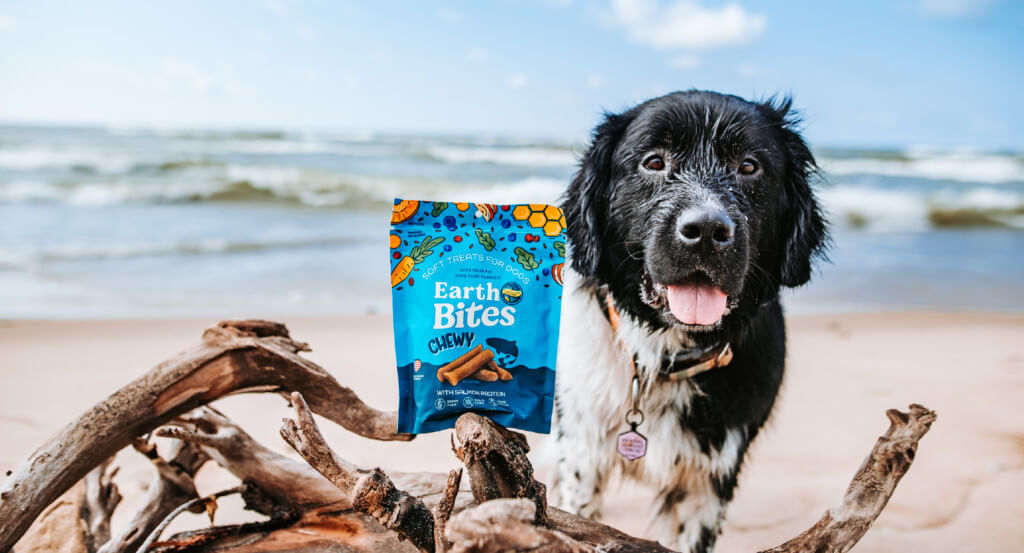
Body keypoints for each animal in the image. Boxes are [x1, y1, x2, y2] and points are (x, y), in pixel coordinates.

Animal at [552, 91, 831, 553]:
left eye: (749, 166)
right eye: (653, 161)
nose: (705, 230)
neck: (662, 354)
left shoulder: (710, 481)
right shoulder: (582, 452)